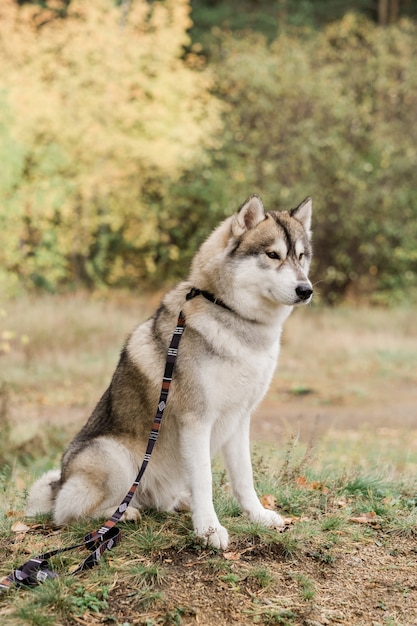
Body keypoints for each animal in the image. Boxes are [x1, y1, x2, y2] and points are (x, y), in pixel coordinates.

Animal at [26, 194, 312, 544]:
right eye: (273, 255)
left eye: (301, 256)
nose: (306, 290)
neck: (231, 315)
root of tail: (59, 485)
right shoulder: (196, 421)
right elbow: (204, 479)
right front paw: (209, 529)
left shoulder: (240, 419)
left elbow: (244, 478)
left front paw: (258, 516)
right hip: (113, 456)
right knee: (69, 513)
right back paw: (123, 513)